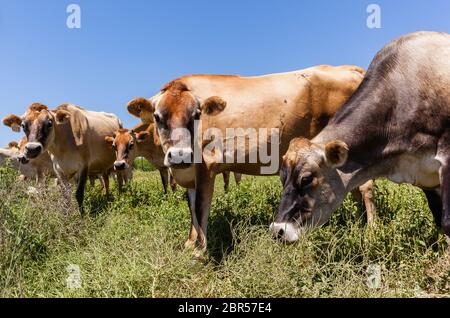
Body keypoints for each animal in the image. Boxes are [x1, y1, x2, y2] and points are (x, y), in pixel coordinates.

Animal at [127, 65, 376, 253]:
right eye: (158, 116)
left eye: (196, 115)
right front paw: (190, 242)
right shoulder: (188, 172)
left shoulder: (206, 164)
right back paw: (357, 223)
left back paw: (371, 231)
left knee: (365, 188)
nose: (180, 155)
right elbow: (191, 205)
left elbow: (199, 206)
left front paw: (201, 250)